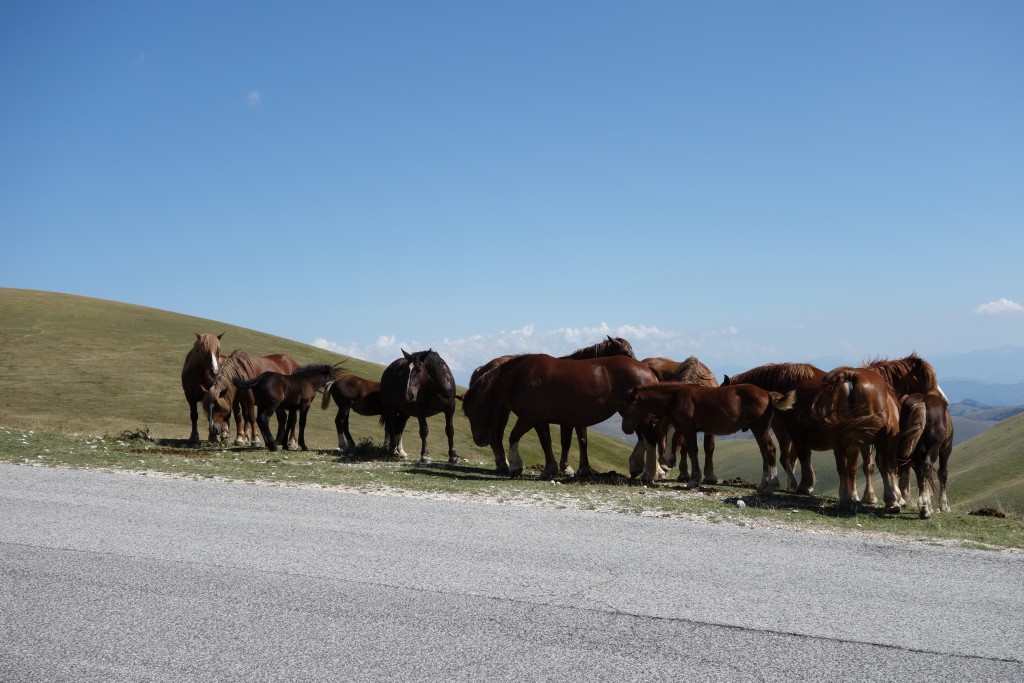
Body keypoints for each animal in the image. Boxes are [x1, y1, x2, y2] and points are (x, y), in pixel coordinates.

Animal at [460, 356, 659, 483]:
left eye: (474, 412)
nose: (480, 441)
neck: (520, 377)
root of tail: (648, 370)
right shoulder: (539, 420)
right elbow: (546, 442)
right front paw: (549, 470)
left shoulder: (529, 417)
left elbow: (514, 436)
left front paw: (516, 466)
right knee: (644, 438)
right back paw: (640, 468)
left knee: (649, 438)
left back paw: (648, 474)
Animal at [618, 382, 794, 493]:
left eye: (630, 404)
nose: (625, 428)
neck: (676, 396)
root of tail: (767, 394)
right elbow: (690, 451)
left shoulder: (688, 430)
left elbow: (692, 451)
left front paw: (693, 480)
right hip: (760, 431)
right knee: (765, 453)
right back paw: (764, 484)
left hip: (760, 429)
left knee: (770, 450)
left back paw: (771, 485)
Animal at [811, 368, 901, 511]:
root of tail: (850, 375)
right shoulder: (891, 436)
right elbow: (890, 466)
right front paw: (897, 497)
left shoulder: (863, 442)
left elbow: (868, 466)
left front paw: (869, 497)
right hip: (876, 436)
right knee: (881, 463)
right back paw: (891, 501)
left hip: (840, 436)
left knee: (842, 466)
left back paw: (845, 499)